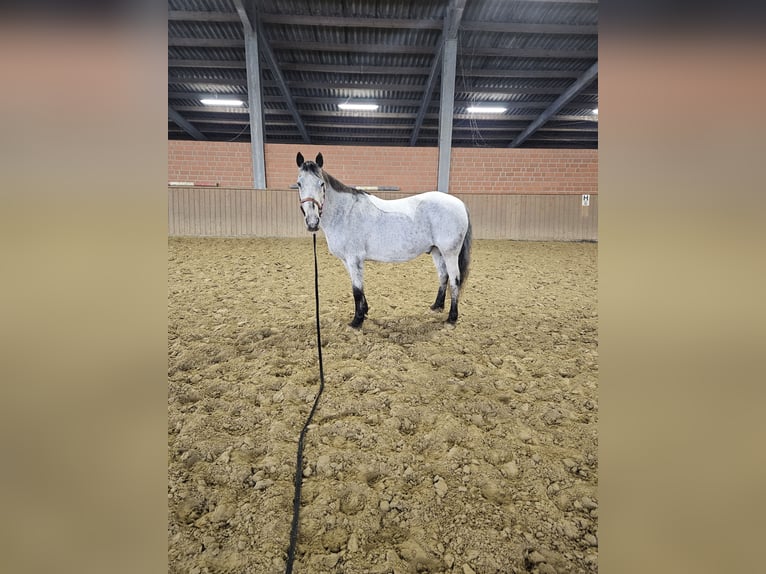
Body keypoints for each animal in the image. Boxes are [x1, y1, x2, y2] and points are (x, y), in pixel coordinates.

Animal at [296, 153, 472, 328]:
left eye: (321, 184)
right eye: (299, 184)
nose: (312, 222)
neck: (345, 212)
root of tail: (460, 204)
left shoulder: (354, 259)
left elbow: (356, 290)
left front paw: (357, 321)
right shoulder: (346, 261)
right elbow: (359, 287)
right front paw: (365, 311)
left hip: (450, 253)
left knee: (455, 280)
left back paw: (451, 318)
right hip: (437, 251)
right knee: (443, 276)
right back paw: (436, 306)